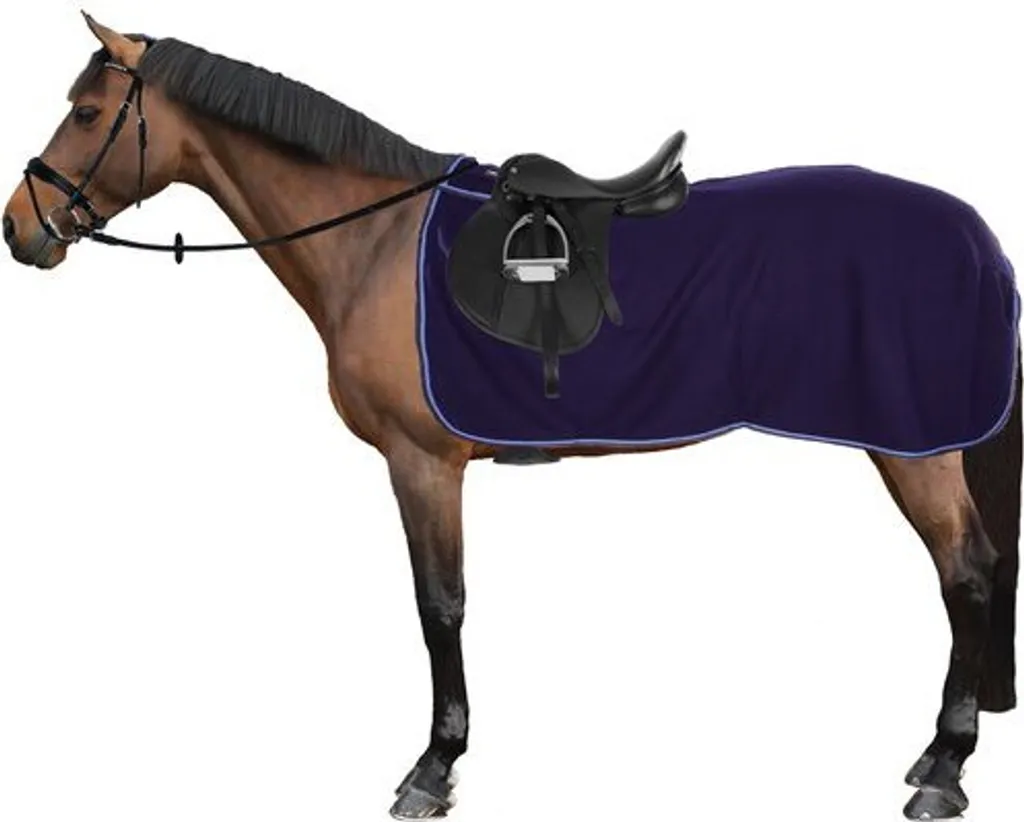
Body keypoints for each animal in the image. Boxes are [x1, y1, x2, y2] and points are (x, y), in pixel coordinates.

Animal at [3, 14, 1020, 821]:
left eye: (87, 113)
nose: (21, 227)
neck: (372, 241)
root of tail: (974, 234)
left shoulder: (421, 463)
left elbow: (439, 605)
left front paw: (434, 766)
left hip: (917, 447)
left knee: (966, 573)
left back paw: (944, 767)